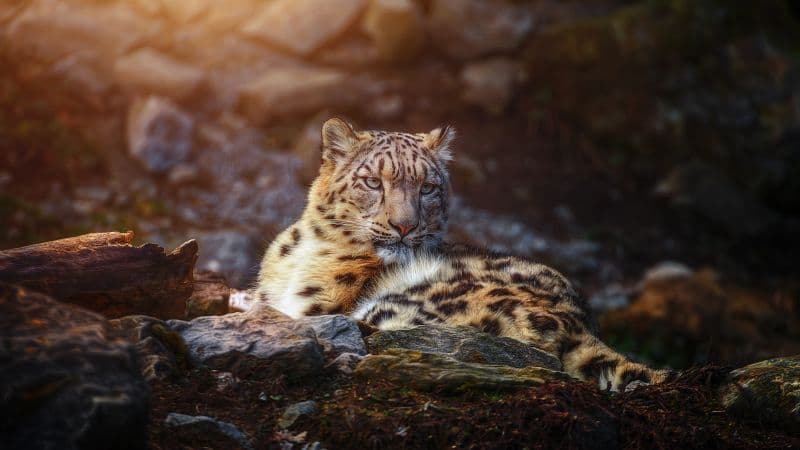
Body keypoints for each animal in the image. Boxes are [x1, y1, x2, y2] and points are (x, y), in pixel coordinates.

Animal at [248, 118, 674, 391]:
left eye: (428, 187)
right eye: (372, 182)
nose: (404, 226)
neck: (304, 250)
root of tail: (580, 326)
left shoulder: (321, 306)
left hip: (404, 307)